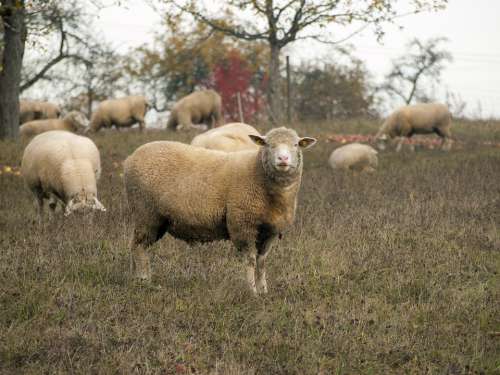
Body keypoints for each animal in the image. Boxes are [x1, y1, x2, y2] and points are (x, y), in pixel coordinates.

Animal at [123, 128, 316, 296]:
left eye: (296, 144)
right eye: (268, 144)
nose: (283, 158)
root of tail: (130, 158)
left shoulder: (271, 230)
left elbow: (261, 262)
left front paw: (263, 291)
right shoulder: (242, 224)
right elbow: (250, 260)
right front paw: (252, 292)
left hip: (155, 218)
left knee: (135, 245)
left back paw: (135, 278)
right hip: (145, 212)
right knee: (138, 246)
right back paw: (144, 280)